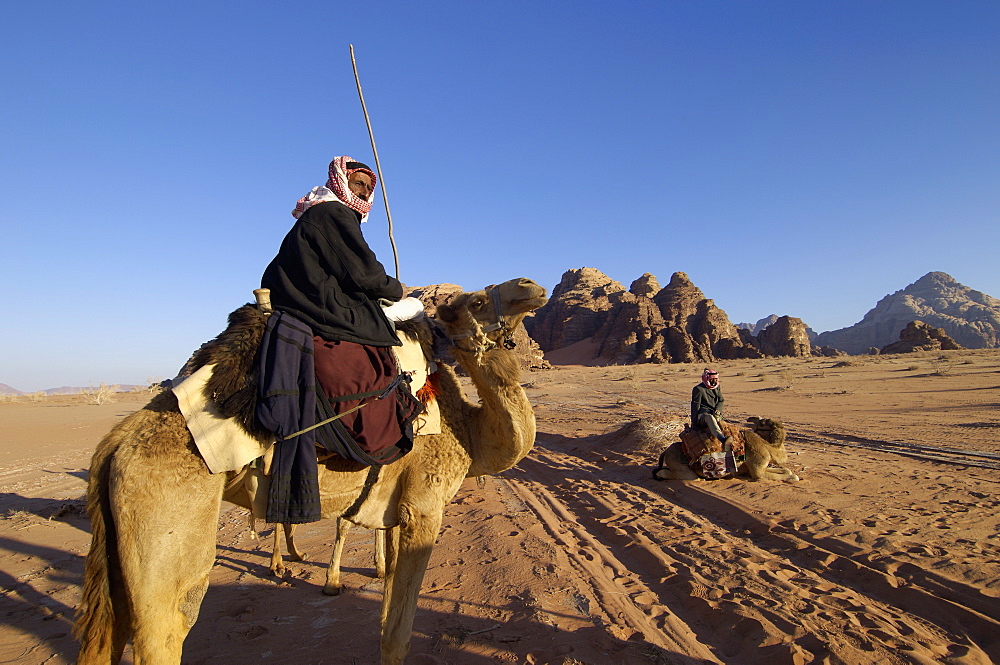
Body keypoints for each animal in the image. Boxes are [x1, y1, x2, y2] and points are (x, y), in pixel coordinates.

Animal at [74, 276, 552, 664]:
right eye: (476, 301)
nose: (530, 285)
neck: (467, 431)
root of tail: (114, 444)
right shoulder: (424, 507)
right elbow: (398, 635)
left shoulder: (395, 513)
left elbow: (384, 615)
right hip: (168, 529)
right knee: (169, 624)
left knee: (107, 637)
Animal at [652, 416, 800, 482]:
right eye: (769, 425)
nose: (782, 428)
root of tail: (665, 452)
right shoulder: (757, 470)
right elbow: (791, 476)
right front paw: (793, 477)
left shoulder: (752, 467)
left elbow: (786, 470)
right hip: (685, 471)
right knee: (683, 475)